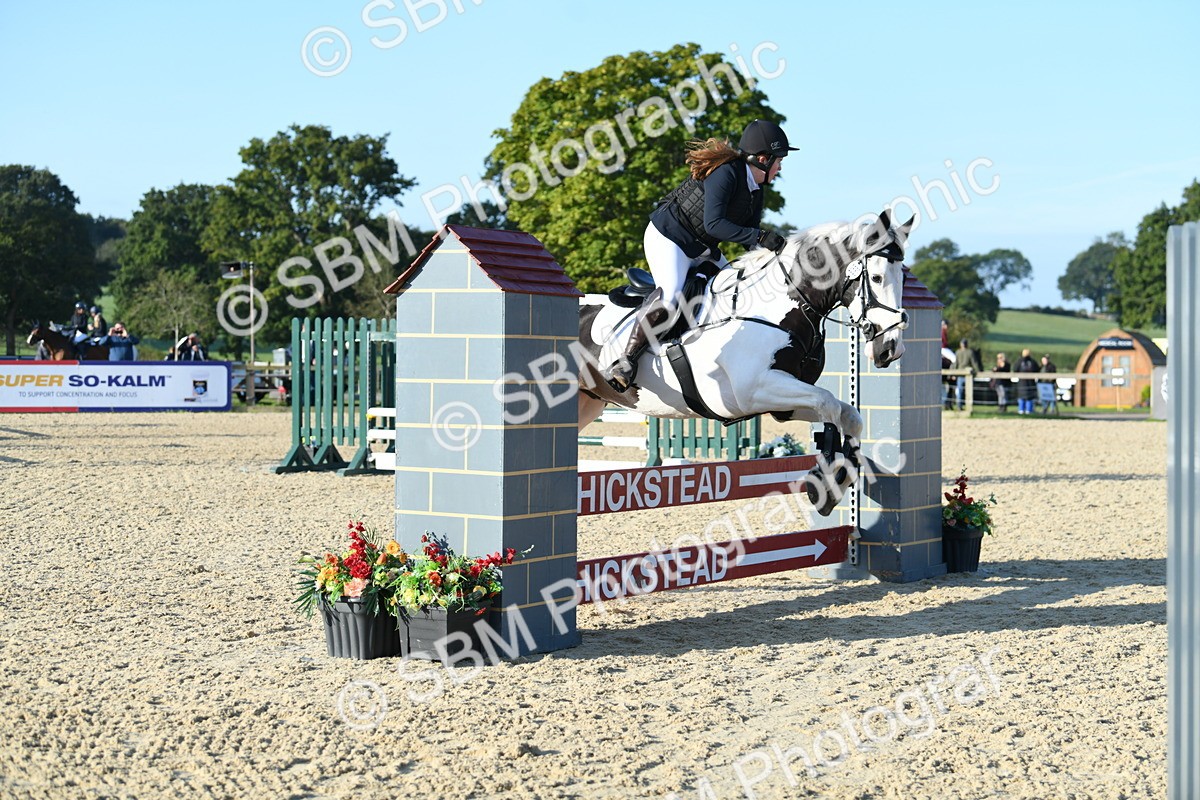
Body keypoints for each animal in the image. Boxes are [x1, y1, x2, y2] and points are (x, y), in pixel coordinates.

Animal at [575, 210, 914, 514]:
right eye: (877, 277)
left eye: (903, 278)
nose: (890, 350)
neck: (779, 308)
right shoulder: (753, 392)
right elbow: (828, 404)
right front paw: (827, 480)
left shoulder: (782, 403)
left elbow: (849, 415)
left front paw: (839, 479)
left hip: (588, 402)